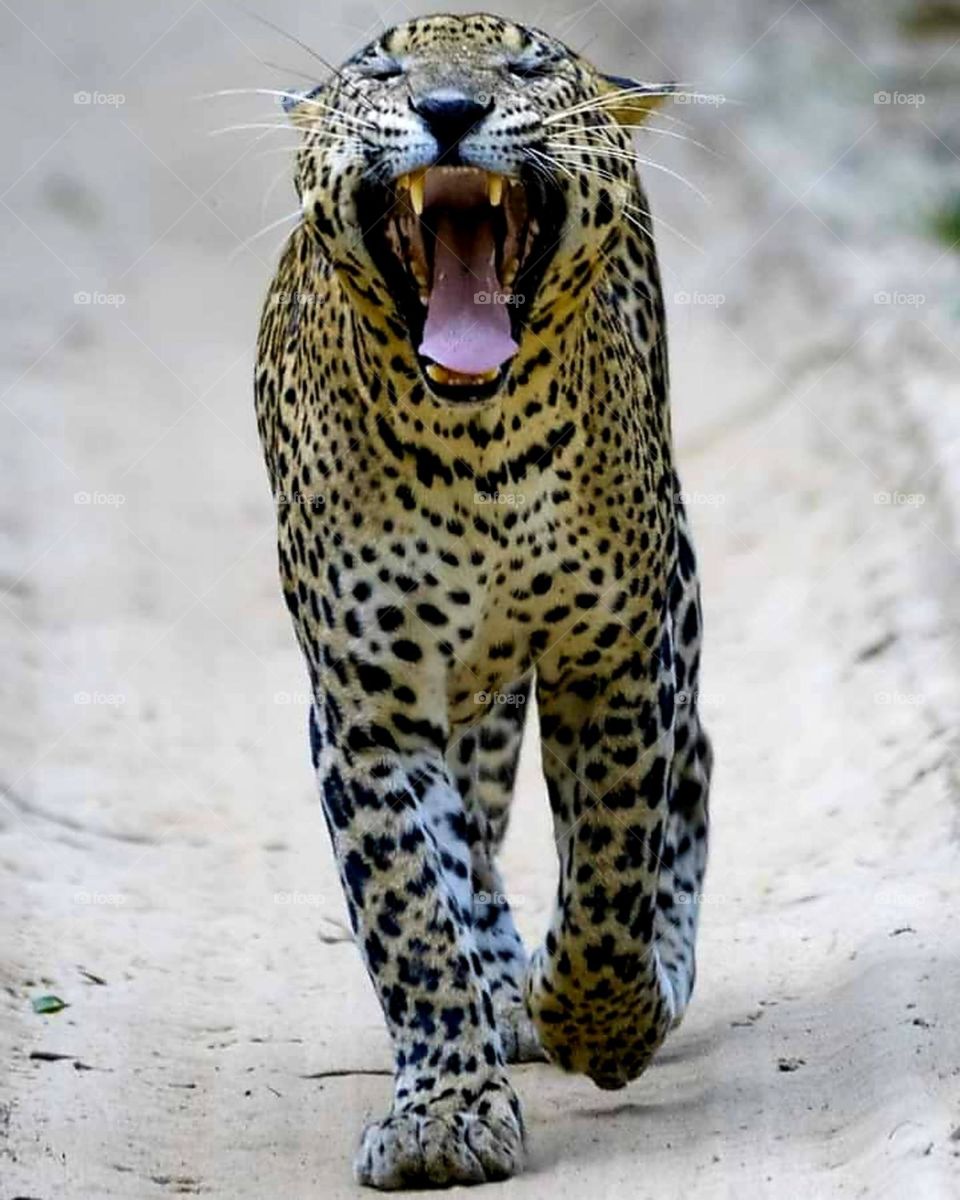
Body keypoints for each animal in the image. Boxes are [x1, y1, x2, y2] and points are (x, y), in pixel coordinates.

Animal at [254, 11, 712, 1189]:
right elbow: (410, 910)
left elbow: (612, 863)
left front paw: (601, 1017)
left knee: (690, 770)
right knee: (466, 839)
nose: (449, 109)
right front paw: (444, 1114)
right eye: (381, 68)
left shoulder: (616, 652)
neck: (477, 447)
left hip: (677, 590)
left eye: (524, 63)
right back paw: (500, 990)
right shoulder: (365, 709)